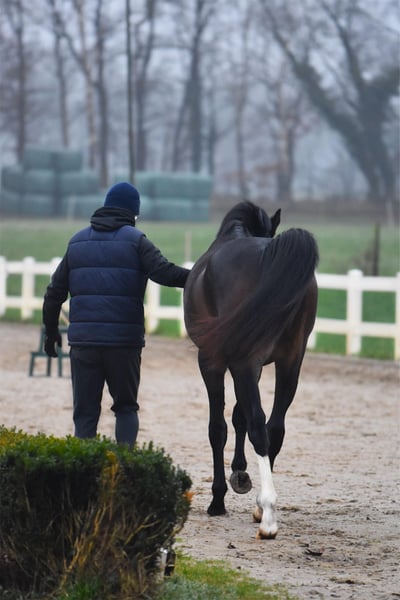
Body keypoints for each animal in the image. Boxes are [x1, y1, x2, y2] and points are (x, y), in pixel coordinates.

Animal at [183, 201, 319, 539]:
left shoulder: (214, 361)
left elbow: (218, 427)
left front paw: (218, 498)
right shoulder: (254, 365)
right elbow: (238, 415)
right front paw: (241, 474)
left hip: (242, 361)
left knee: (259, 425)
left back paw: (267, 515)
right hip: (290, 363)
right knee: (275, 427)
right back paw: (261, 506)